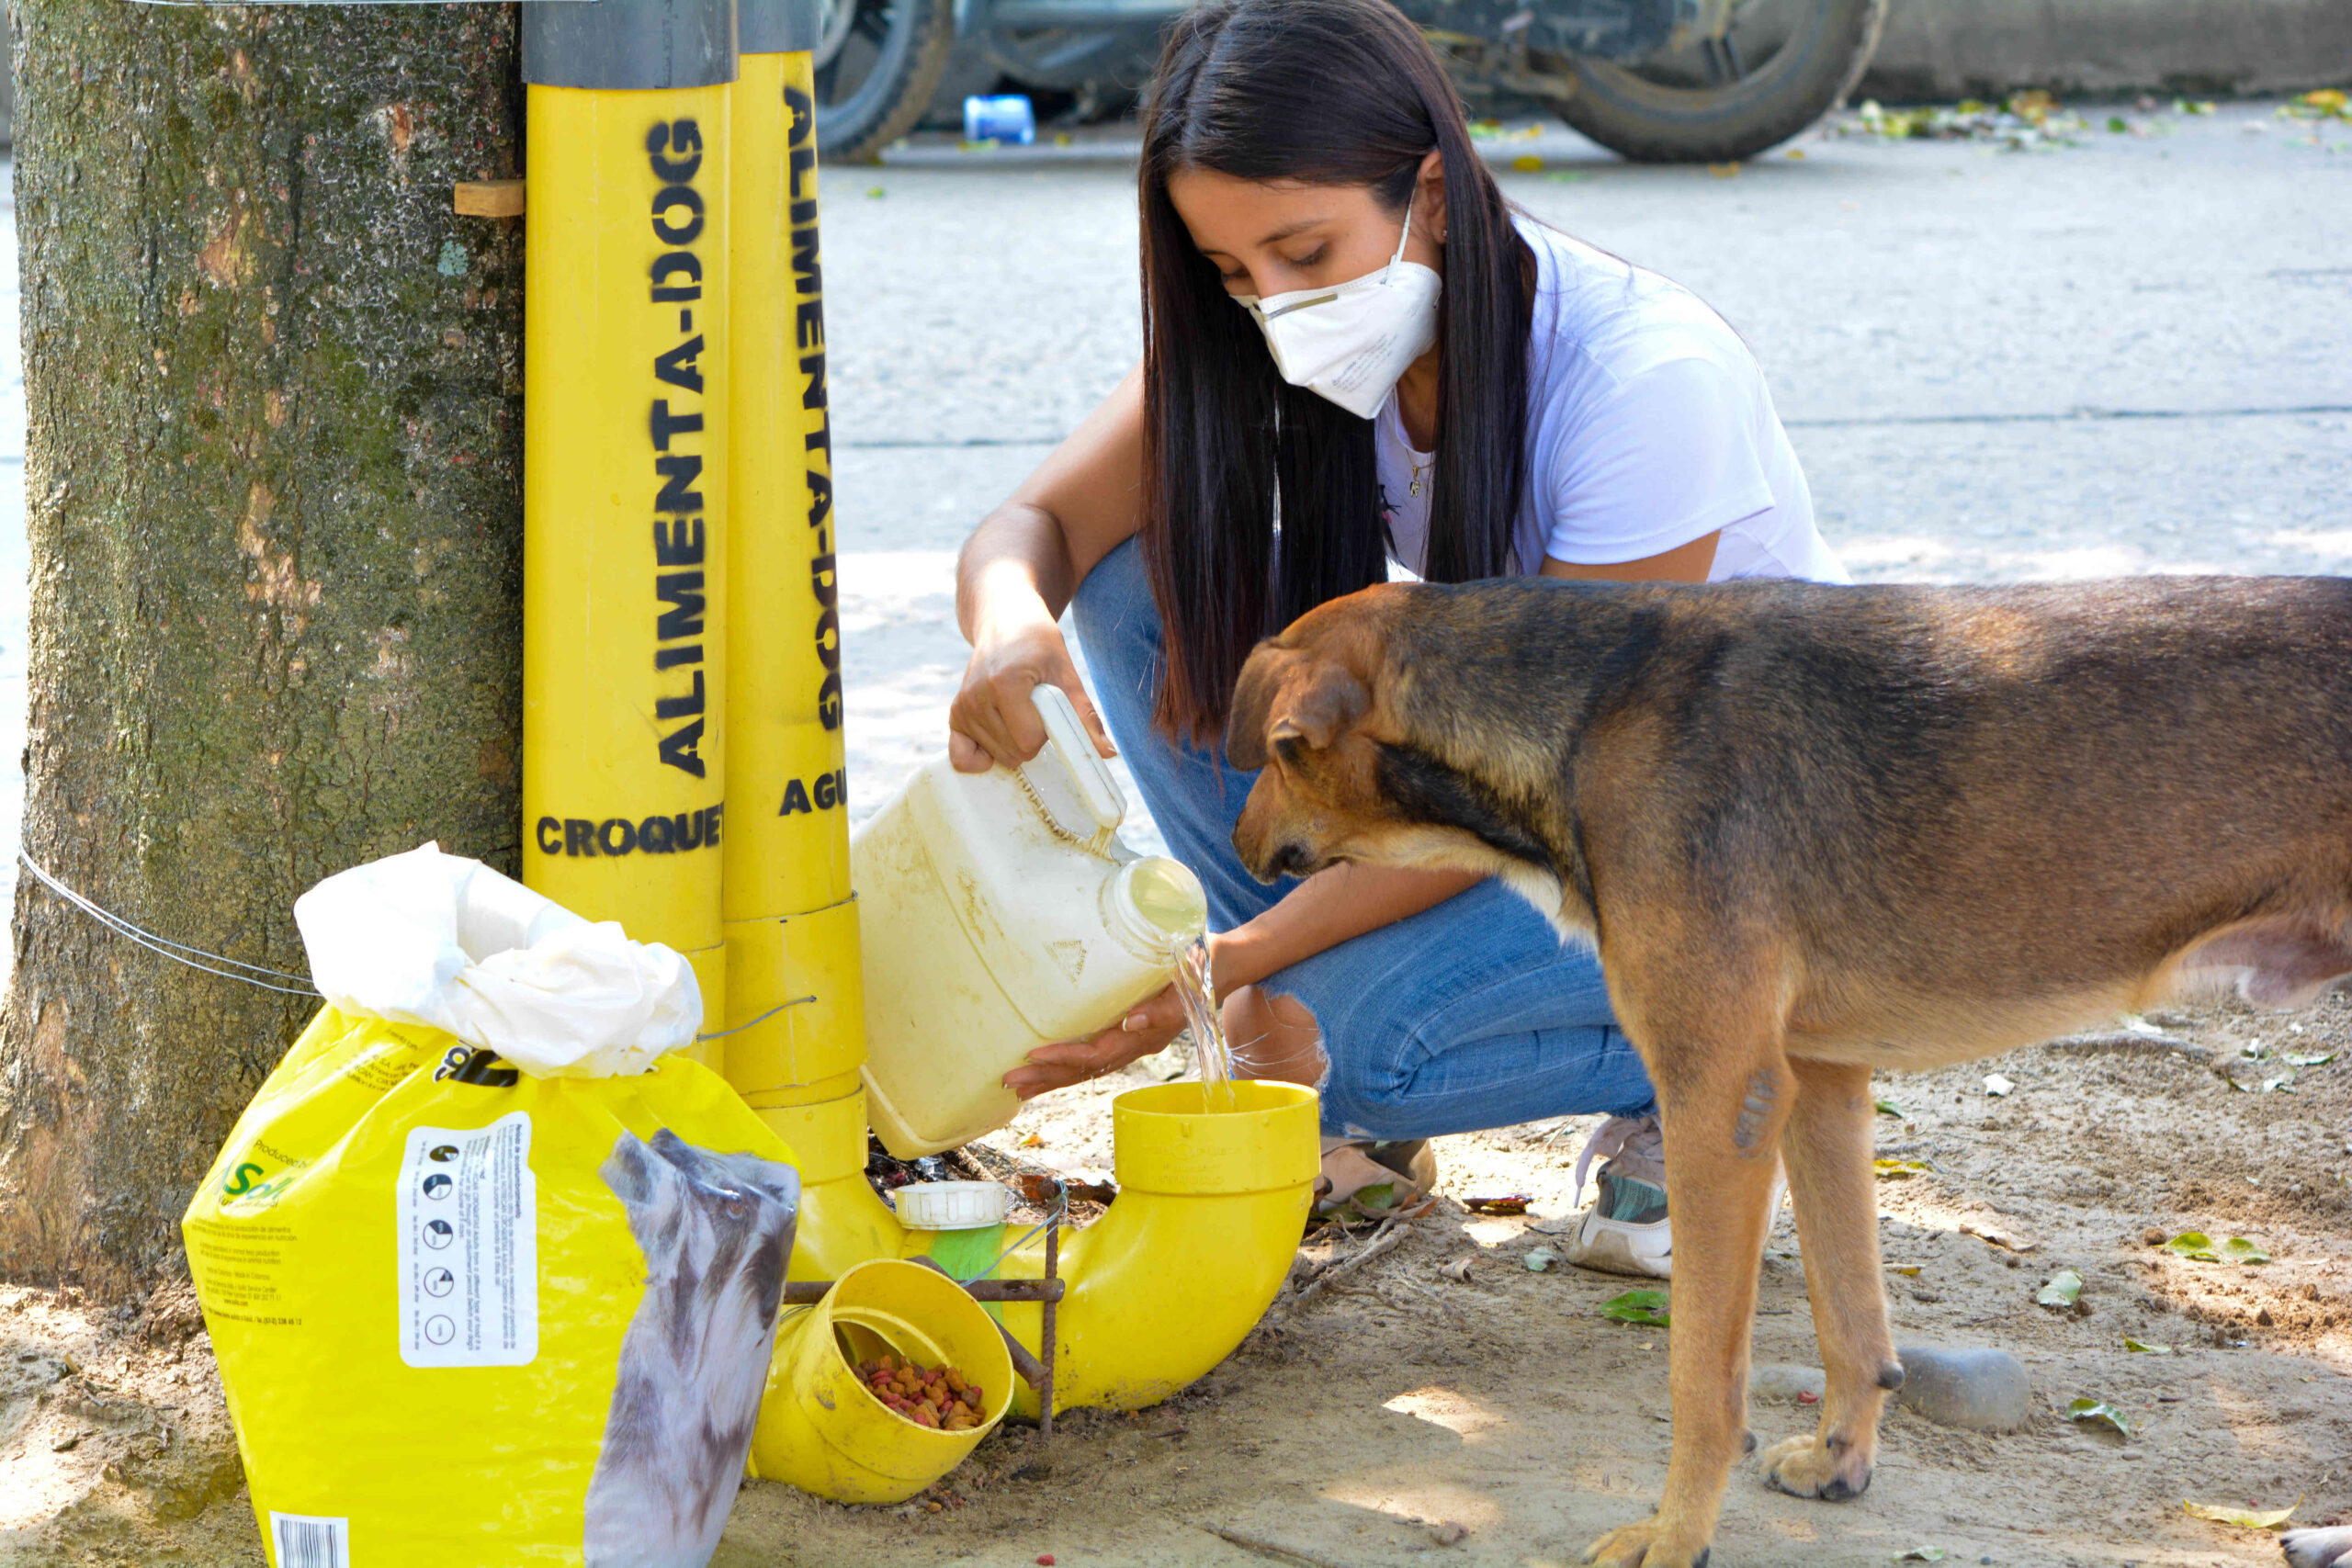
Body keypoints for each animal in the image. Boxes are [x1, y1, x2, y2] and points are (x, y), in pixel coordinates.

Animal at [1232, 576, 2352, 1568]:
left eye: (1274, 755)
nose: (1237, 845)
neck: (1589, 712)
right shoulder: (1821, 1084)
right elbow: (1849, 1317)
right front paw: (1840, 1462)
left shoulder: (1717, 1098)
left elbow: (1702, 1378)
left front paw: (1673, 1538)